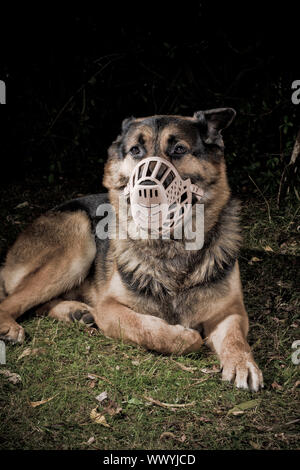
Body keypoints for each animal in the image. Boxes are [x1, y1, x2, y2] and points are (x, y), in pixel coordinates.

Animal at [0, 108, 262, 392]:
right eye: (136, 150)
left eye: (179, 149)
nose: (147, 187)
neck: (171, 248)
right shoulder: (110, 308)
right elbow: (152, 330)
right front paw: (185, 336)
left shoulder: (230, 312)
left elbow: (235, 338)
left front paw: (242, 362)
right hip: (78, 241)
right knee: (12, 301)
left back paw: (75, 312)